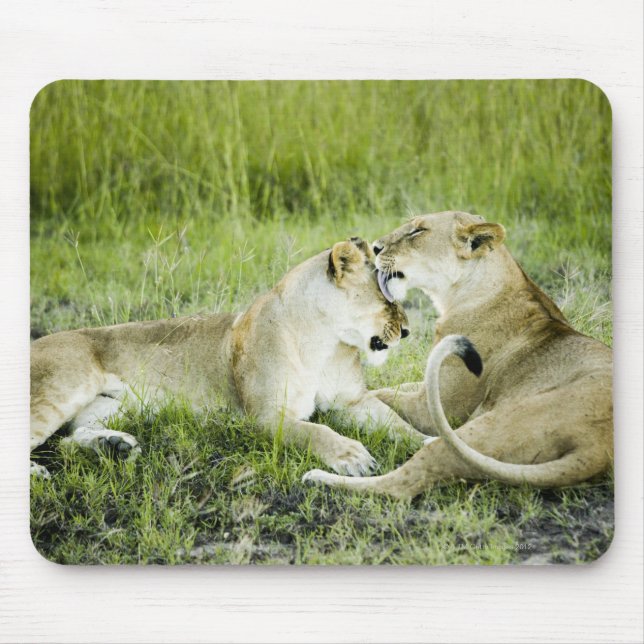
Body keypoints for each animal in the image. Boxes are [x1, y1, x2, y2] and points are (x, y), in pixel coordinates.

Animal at [31, 237, 428, 479]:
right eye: (388, 300)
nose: (408, 331)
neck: (325, 343)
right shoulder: (266, 416)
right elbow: (314, 430)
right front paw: (351, 455)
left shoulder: (353, 401)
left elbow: (396, 423)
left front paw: (429, 443)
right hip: (64, 386)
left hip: (111, 406)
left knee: (66, 441)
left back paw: (113, 446)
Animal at [303, 211, 613, 497]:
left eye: (418, 231)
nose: (376, 247)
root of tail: (598, 446)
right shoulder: (427, 386)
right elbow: (390, 389)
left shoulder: (434, 408)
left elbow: (382, 396)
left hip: (484, 428)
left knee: (401, 485)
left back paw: (319, 478)